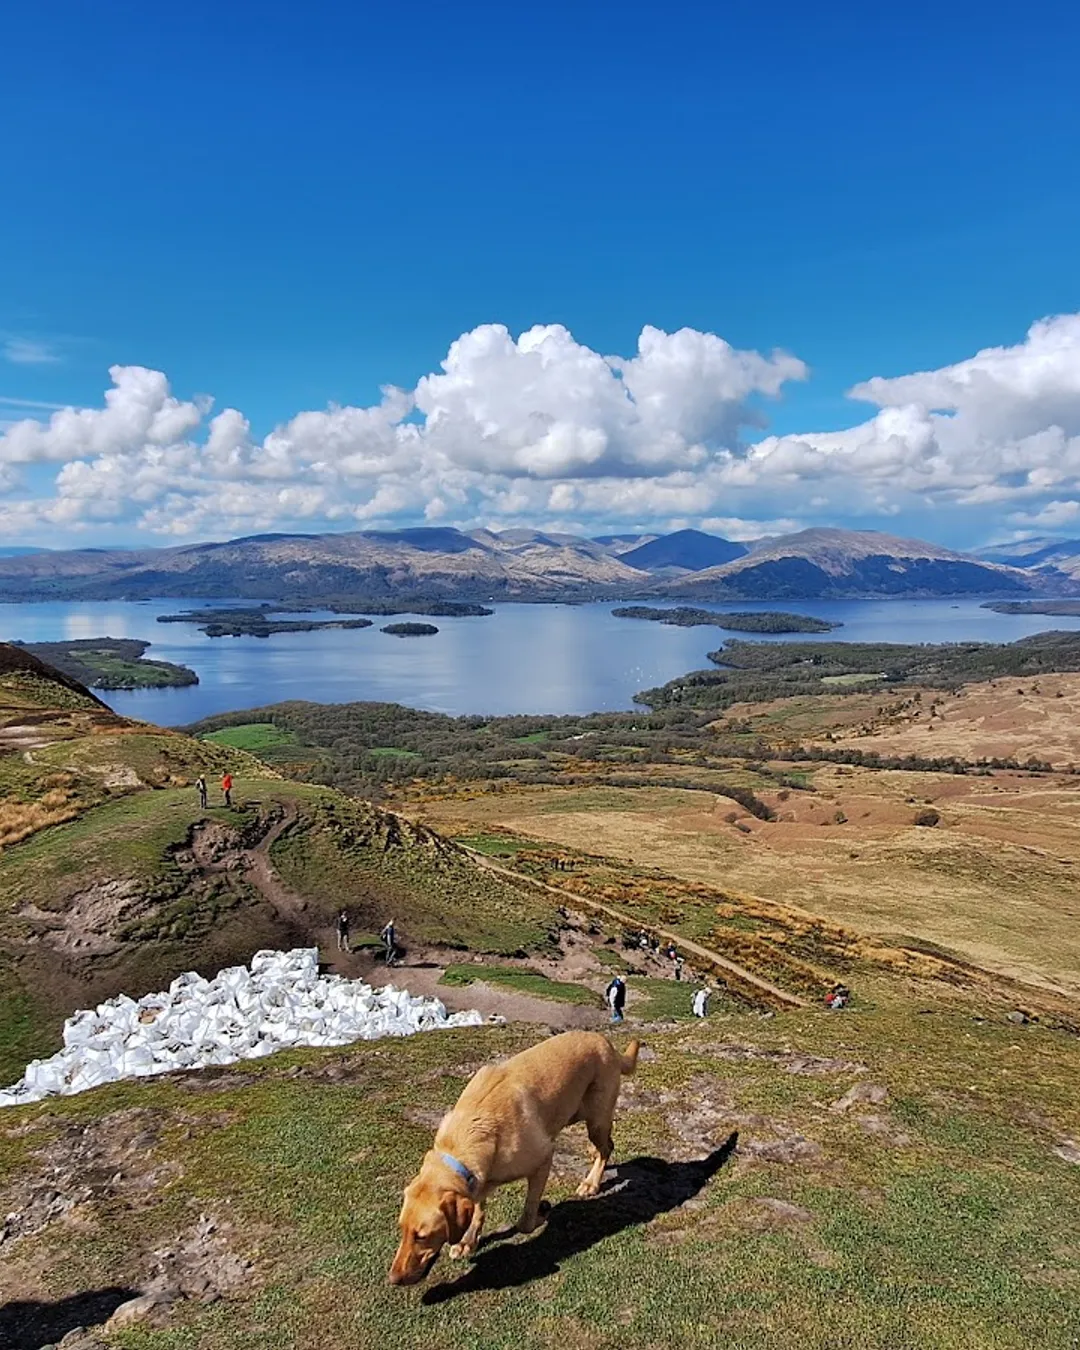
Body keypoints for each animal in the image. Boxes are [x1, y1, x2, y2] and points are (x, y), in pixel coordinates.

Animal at [391, 1031, 637, 1285]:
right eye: (402, 1229)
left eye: (422, 1236)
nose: (393, 1278)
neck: (473, 1129)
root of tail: (606, 1043)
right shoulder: (477, 1181)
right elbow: (478, 1210)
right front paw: (468, 1241)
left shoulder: (543, 1159)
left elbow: (526, 1221)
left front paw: (541, 1214)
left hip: (595, 1119)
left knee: (607, 1147)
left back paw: (591, 1182)